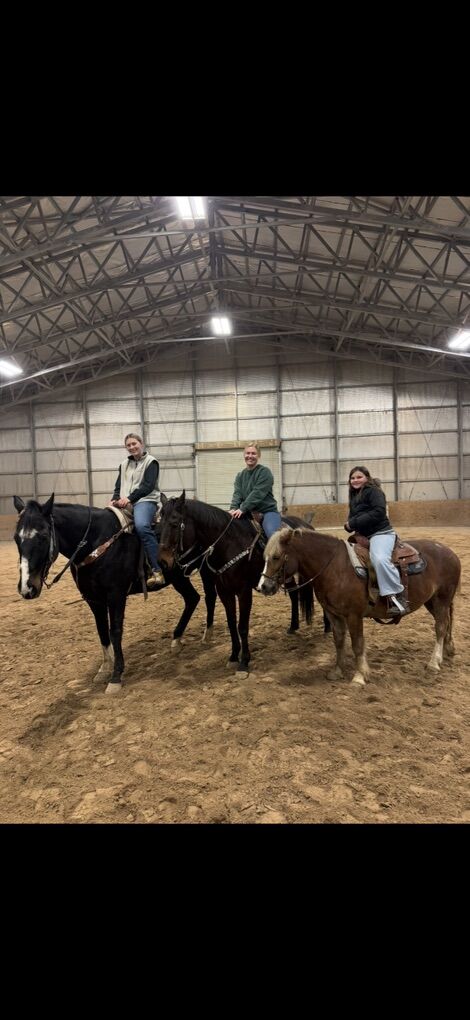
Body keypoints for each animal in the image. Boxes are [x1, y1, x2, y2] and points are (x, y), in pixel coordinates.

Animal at [13, 494, 217, 694]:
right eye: (16, 538)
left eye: (43, 535)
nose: (27, 588)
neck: (96, 542)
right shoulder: (93, 600)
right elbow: (102, 631)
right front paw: (104, 669)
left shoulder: (116, 595)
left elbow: (115, 632)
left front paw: (116, 676)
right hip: (178, 578)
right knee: (192, 598)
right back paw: (176, 640)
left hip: (204, 569)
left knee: (208, 597)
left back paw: (207, 636)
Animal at [158, 491, 328, 677]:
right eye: (159, 523)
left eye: (174, 523)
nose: (162, 561)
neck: (229, 543)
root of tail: (308, 526)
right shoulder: (224, 592)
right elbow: (232, 623)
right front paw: (233, 657)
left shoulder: (244, 591)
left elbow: (243, 626)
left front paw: (244, 662)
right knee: (293, 594)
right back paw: (293, 626)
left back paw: (328, 628)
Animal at [257, 527, 461, 687]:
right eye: (264, 557)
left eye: (276, 557)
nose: (263, 587)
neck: (335, 567)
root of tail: (450, 553)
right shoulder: (333, 614)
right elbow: (339, 641)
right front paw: (337, 671)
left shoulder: (353, 615)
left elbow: (357, 644)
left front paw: (360, 676)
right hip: (433, 601)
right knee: (447, 623)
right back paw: (448, 650)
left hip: (442, 599)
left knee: (440, 627)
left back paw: (434, 662)